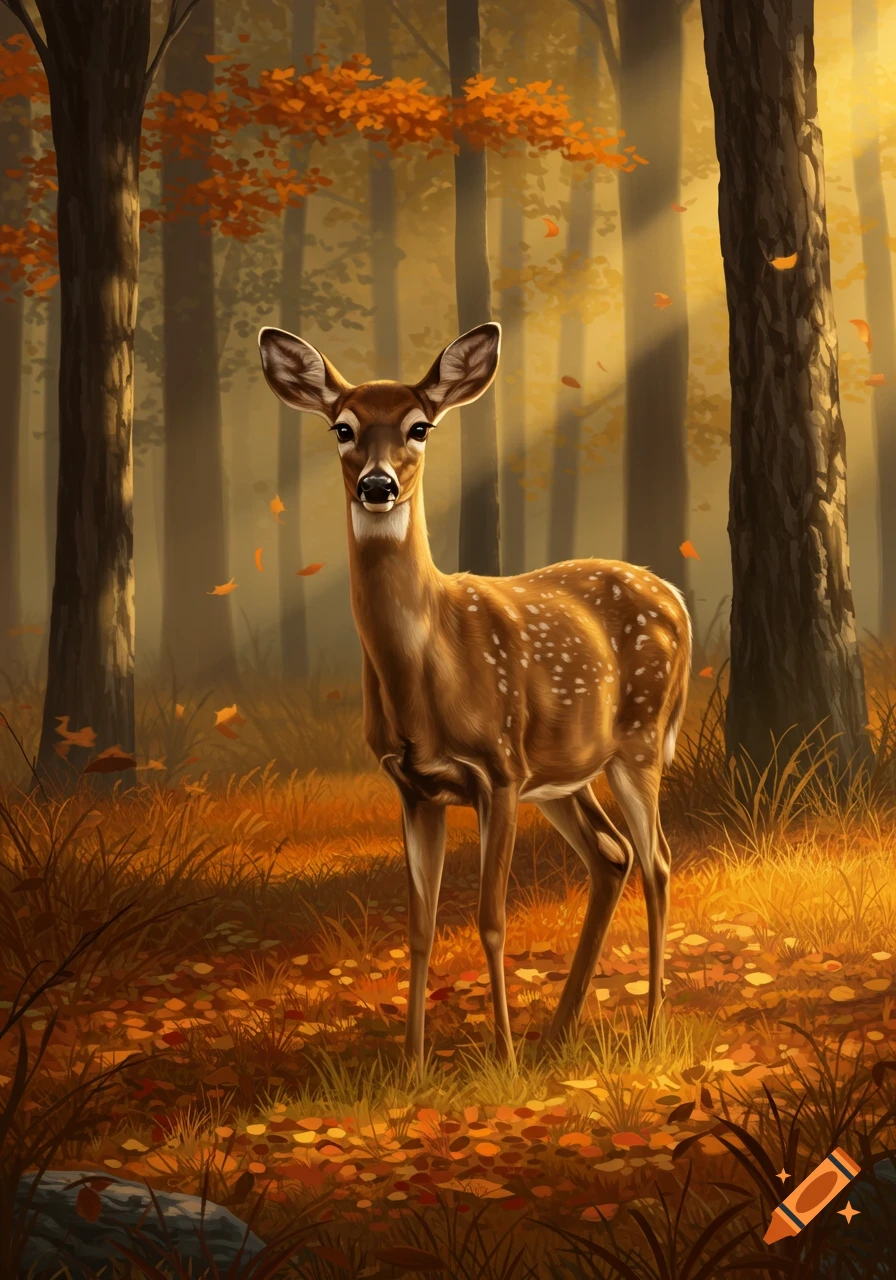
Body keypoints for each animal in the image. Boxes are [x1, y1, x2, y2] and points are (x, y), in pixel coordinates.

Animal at [258, 321, 692, 1068]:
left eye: (419, 426)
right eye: (343, 428)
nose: (378, 485)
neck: (429, 666)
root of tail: (676, 597)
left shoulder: (497, 770)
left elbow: (490, 921)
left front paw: (504, 1057)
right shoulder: (413, 785)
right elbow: (422, 925)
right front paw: (412, 1065)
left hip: (634, 743)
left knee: (659, 861)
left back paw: (648, 1025)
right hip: (563, 774)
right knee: (613, 855)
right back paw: (559, 1032)